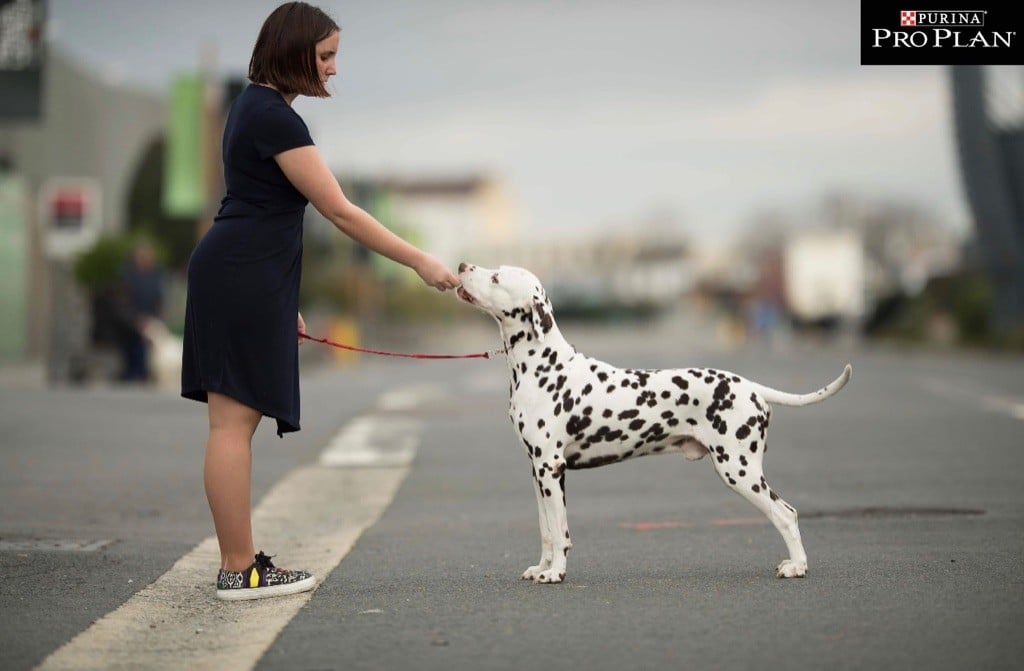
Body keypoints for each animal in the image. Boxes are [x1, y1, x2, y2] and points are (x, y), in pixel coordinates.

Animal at [456, 263, 851, 583]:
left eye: (496, 277)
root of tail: (751, 386)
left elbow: (561, 532)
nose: (461, 266)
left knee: (786, 514)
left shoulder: (551, 467)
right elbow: (547, 531)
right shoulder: (538, 471)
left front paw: (556, 573)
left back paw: (797, 566)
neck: (542, 364)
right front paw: (542, 568)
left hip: (739, 470)